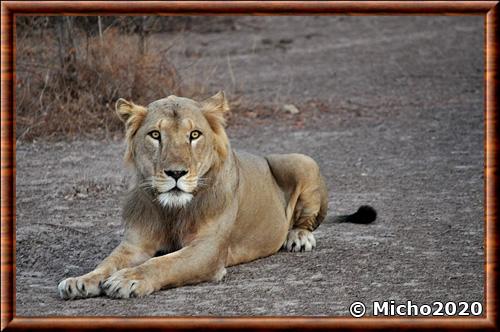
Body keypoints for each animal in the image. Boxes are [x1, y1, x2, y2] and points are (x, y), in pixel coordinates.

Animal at [57, 92, 376, 300]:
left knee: (307, 221)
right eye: (155, 135)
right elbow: (107, 262)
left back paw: (298, 237)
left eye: (195, 135)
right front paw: (80, 281)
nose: (176, 173)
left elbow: (164, 263)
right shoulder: (135, 245)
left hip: (301, 160)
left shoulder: (208, 250)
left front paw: (128, 279)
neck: (172, 210)